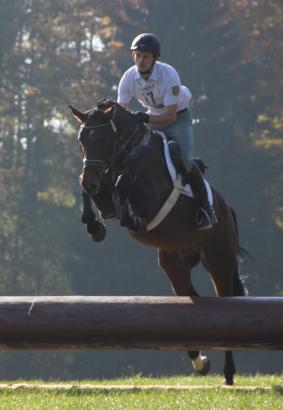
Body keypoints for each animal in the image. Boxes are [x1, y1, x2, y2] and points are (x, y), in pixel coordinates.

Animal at [70, 99, 248, 384]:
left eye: (103, 138)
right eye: (81, 139)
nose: (91, 180)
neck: (127, 153)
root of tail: (226, 209)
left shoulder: (151, 200)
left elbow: (122, 183)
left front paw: (132, 219)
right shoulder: (104, 196)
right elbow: (92, 192)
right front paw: (94, 226)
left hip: (219, 259)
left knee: (225, 302)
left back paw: (228, 374)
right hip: (174, 264)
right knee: (191, 298)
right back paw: (200, 361)